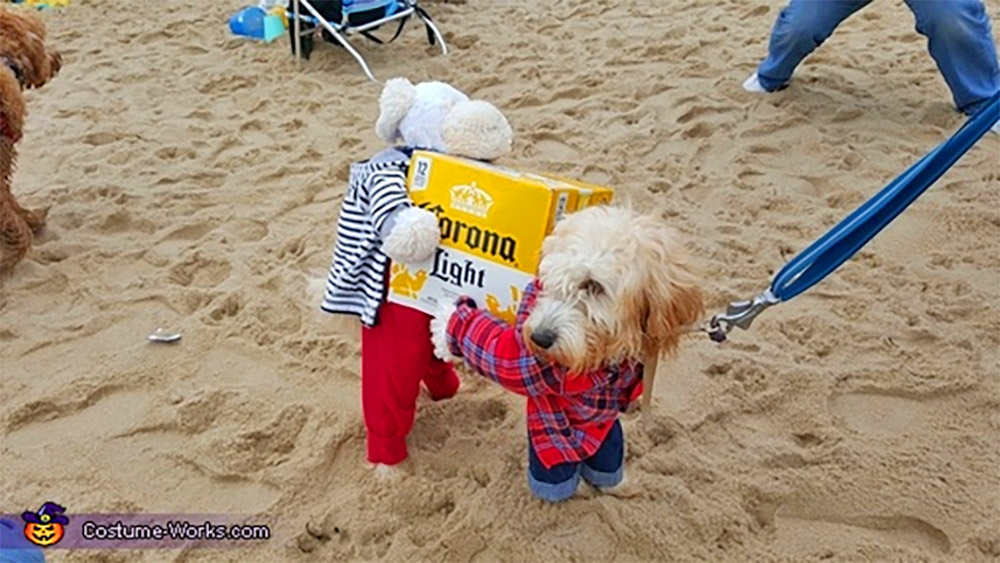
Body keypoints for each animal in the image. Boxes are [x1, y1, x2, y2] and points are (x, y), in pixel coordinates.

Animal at [430, 206, 704, 502]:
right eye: (548, 280)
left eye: (593, 285)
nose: (539, 338)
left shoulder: (542, 371)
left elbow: (503, 357)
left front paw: (447, 321)